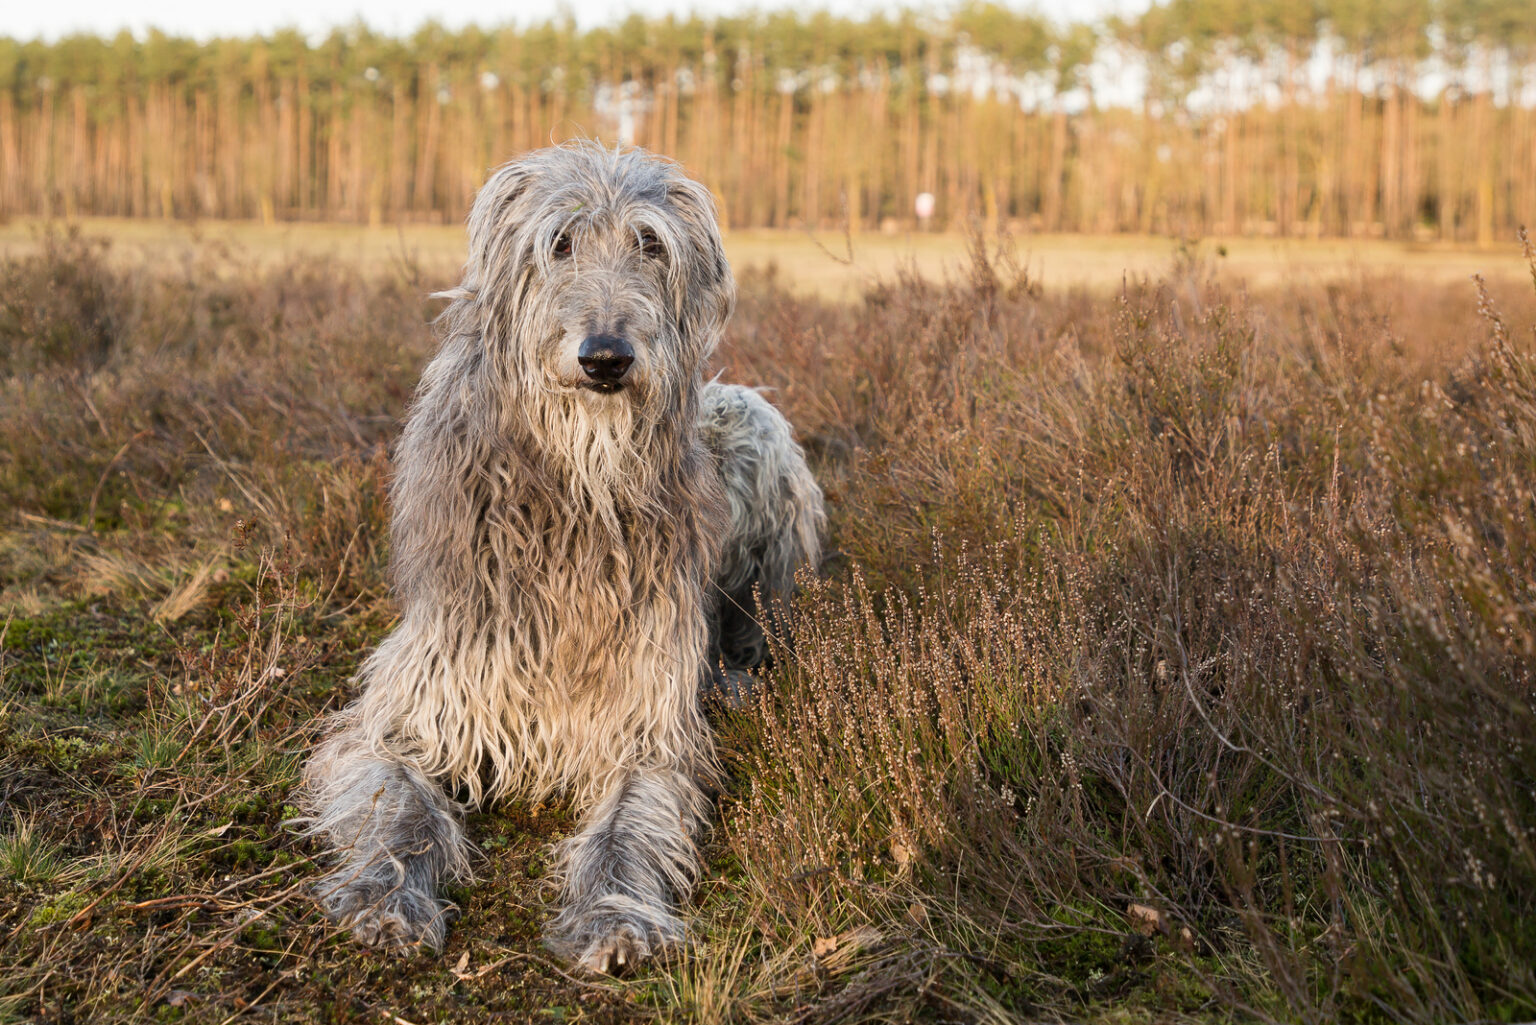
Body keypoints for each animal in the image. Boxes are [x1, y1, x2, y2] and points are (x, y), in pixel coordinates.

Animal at [302, 142, 829, 971]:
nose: (606, 357)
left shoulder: (647, 725)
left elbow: (629, 825)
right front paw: (387, 899)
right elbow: (399, 804)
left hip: (754, 426)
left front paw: (612, 911)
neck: (578, 486)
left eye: (651, 244)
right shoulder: (414, 705)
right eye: (559, 243)